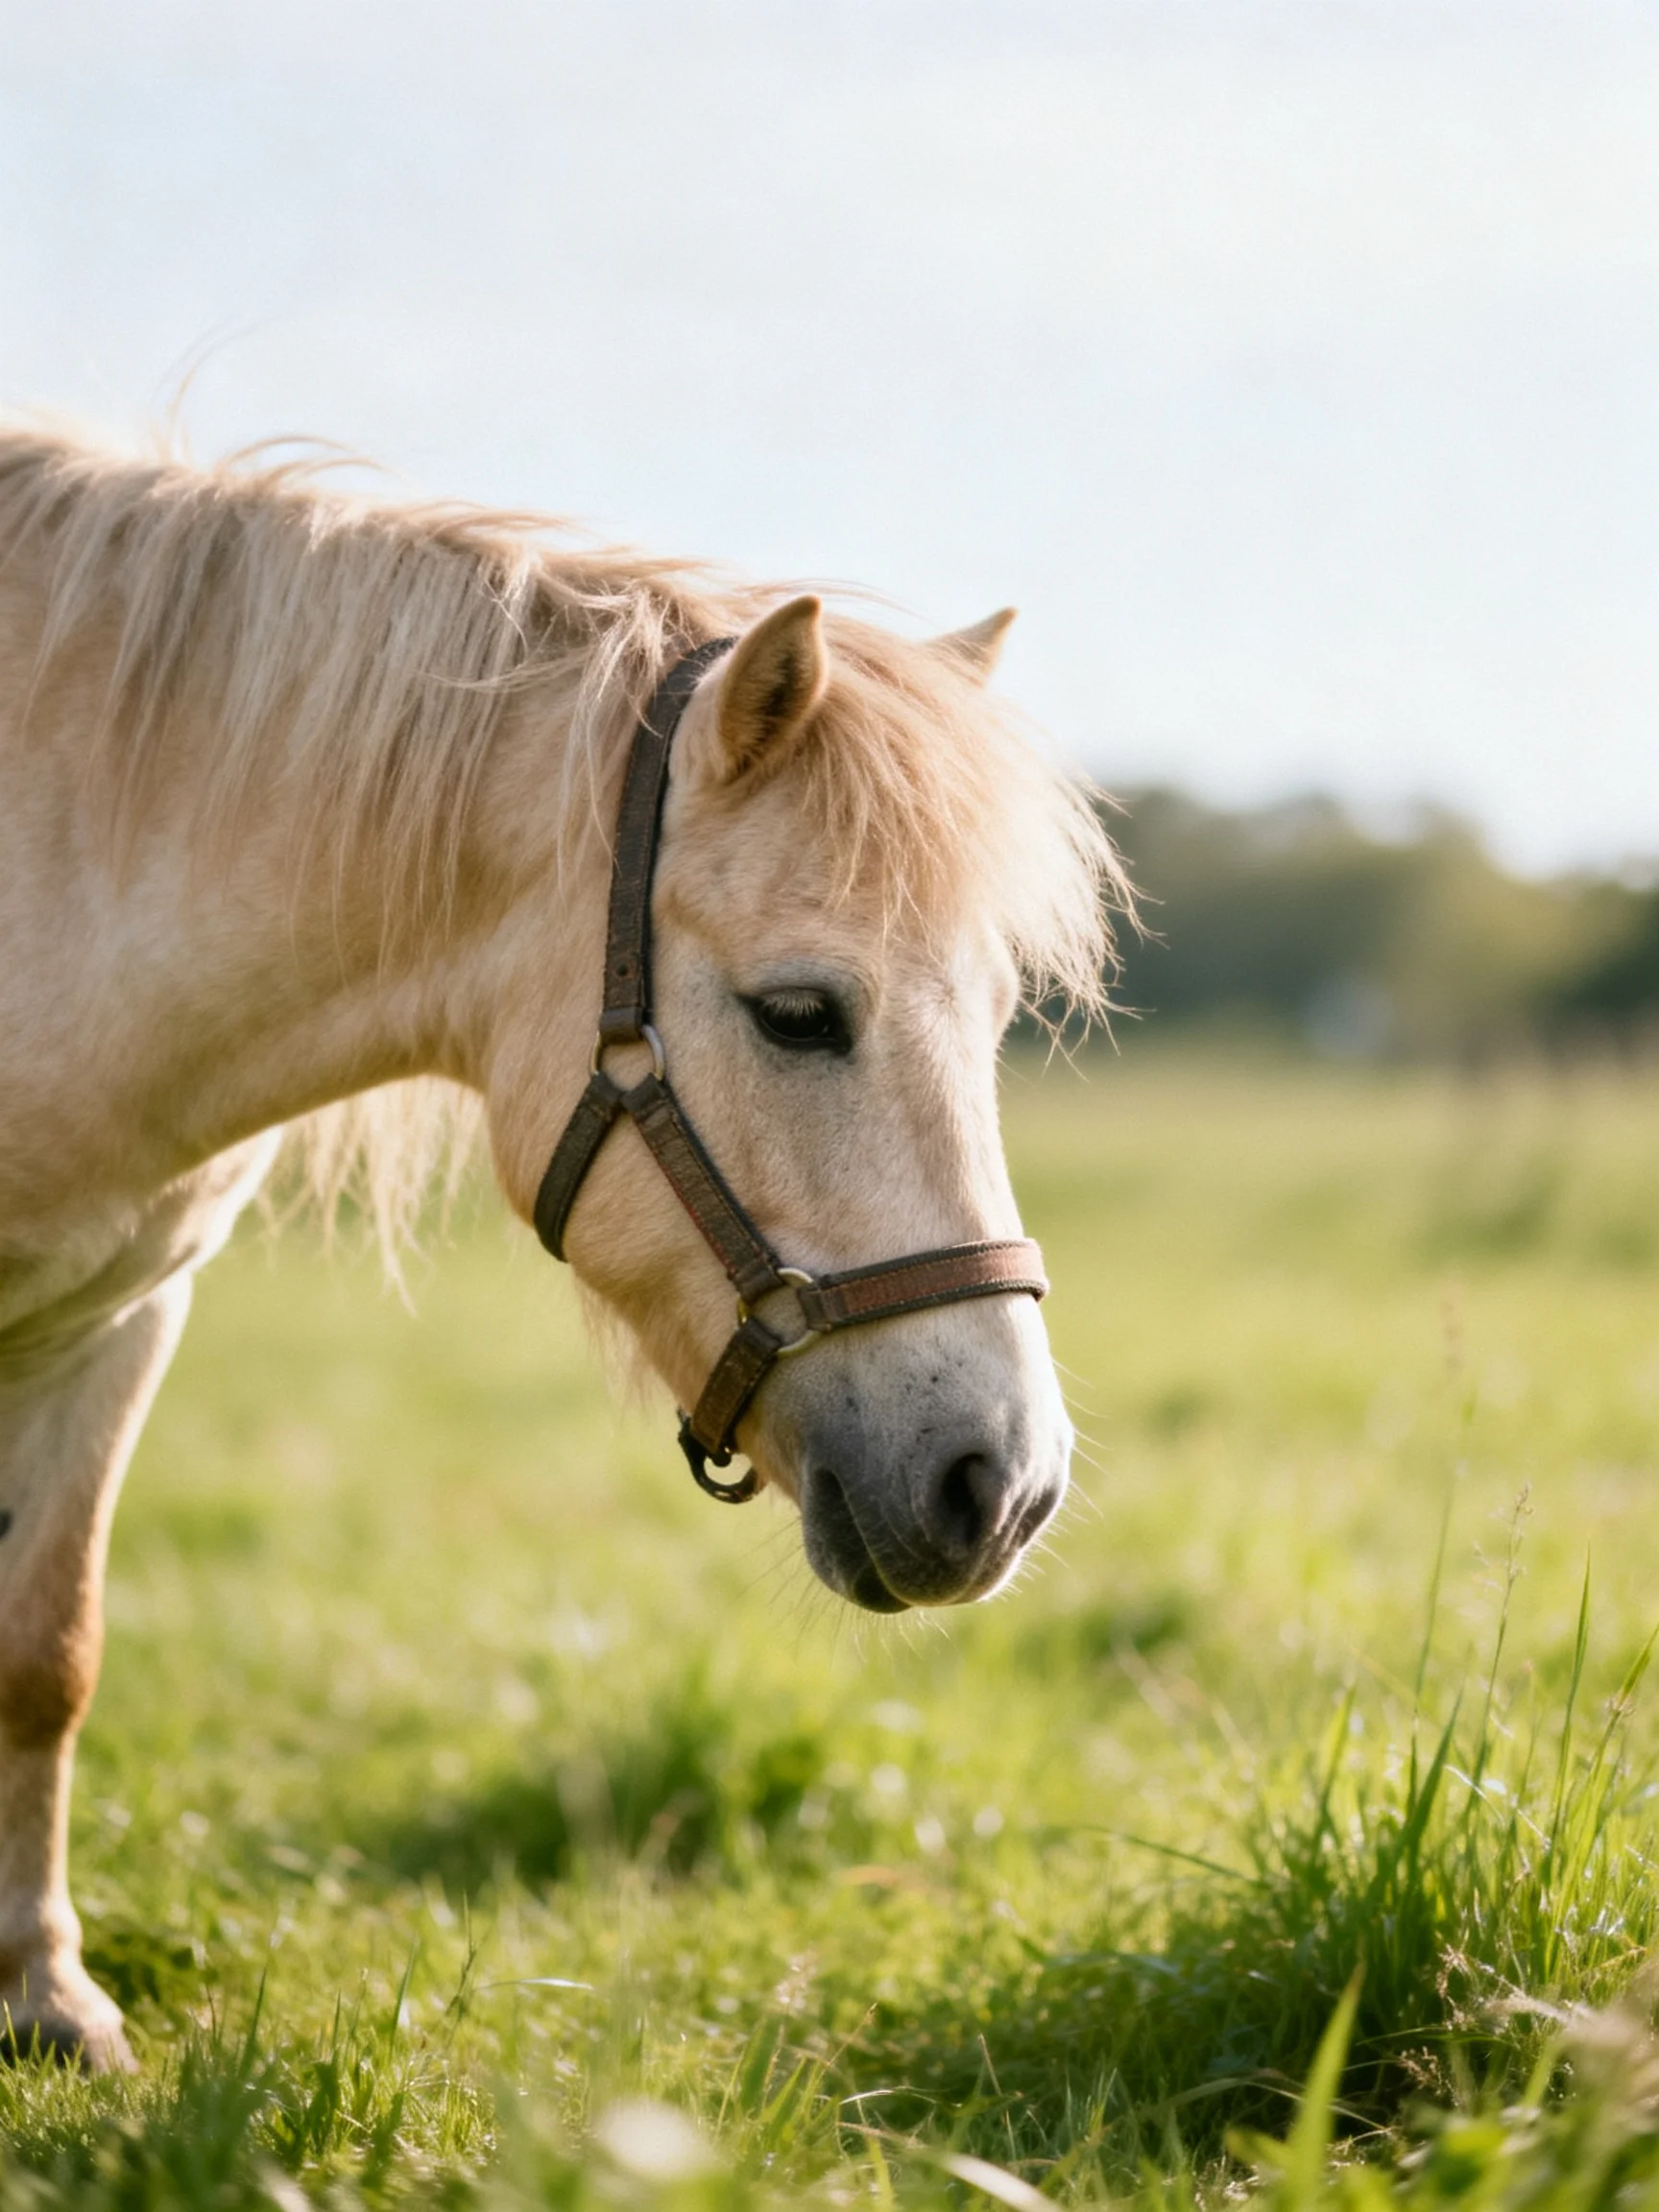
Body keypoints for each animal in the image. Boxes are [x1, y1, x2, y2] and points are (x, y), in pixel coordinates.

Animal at [0, 425, 1122, 2070]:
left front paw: (43, 1999)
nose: (1005, 1488)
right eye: (799, 1013)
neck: (54, 869)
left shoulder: (115, 1322)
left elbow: (47, 1652)